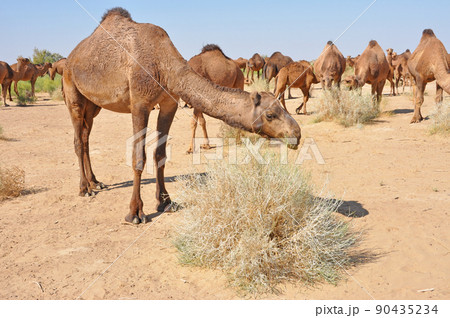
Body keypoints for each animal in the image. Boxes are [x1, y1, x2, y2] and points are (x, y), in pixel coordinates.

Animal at [62, 8, 302, 225]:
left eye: (281, 109)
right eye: (270, 114)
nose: (297, 133)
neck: (163, 64)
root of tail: (70, 57)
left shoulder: (169, 103)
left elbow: (160, 154)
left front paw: (165, 201)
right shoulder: (139, 104)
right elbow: (138, 157)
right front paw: (135, 213)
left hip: (93, 104)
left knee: (85, 136)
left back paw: (96, 182)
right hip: (72, 91)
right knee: (77, 140)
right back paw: (85, 188)